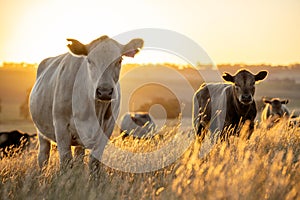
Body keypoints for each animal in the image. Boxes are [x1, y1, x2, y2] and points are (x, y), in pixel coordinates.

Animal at [29, 35, 144, 170]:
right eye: (89, 60)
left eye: (119, 60)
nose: (104, 91)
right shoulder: (61, 127)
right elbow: (66, 162)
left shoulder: (106, 130)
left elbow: (94, 163)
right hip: (41, 132)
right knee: (43, 156)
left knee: (79, 157)